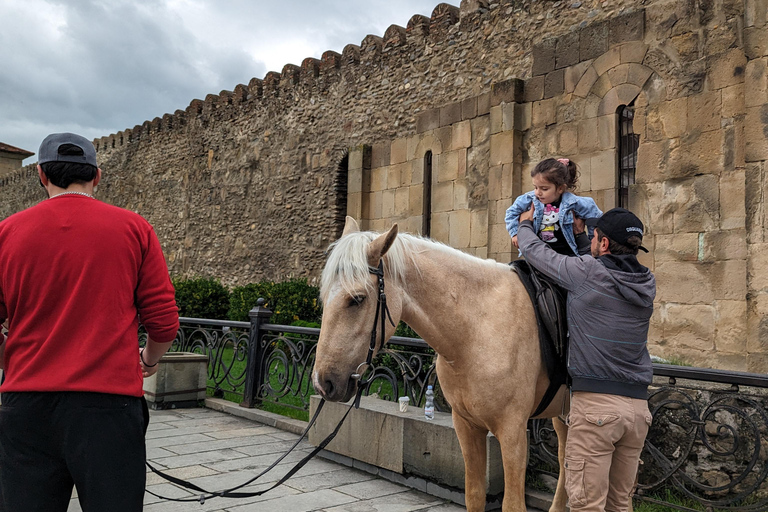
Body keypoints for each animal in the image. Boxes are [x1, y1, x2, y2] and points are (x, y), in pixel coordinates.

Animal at [312, 218, 568, 512]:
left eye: (357, 299)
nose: (322, 382)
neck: (479, 327)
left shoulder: (513, 431)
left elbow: (513, 504)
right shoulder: (466, 426)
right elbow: (474, 495)